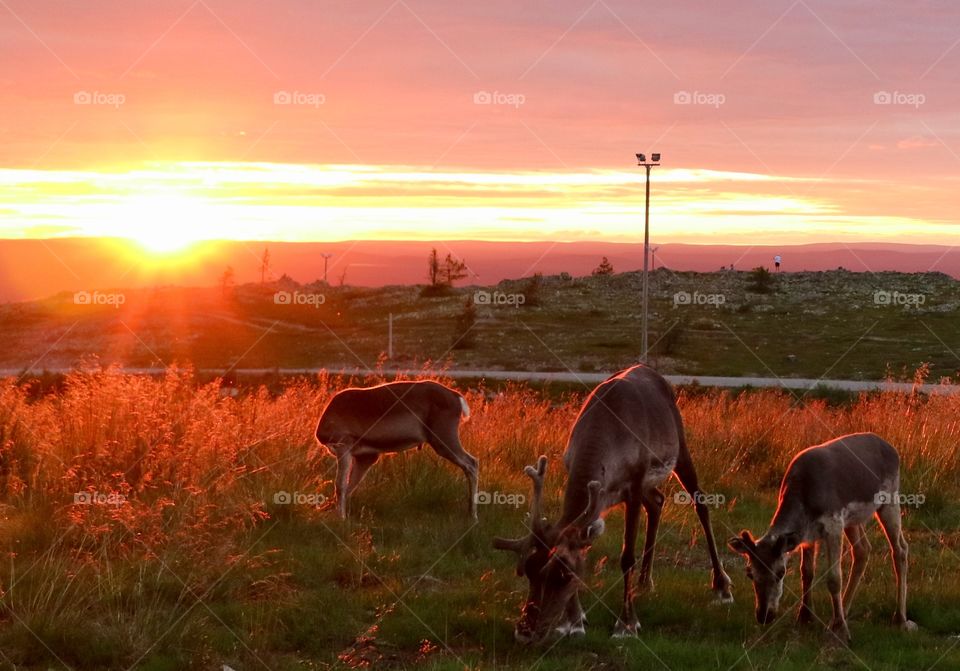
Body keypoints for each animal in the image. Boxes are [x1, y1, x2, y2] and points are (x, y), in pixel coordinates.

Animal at [314, 380, 477, 519]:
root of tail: (456, 396)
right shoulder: (366, 457)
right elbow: (351, 486)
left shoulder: (344, 448)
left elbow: (340, 485)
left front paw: (341, 519)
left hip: (443, 441)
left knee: (472, 463)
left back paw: (473, 516)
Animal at [493, 364, 733, 643]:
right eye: (527, 570)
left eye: (563, 576)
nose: (524, 632)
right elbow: (582, 545)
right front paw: (574, 621)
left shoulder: (635, 483)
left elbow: (626, 557)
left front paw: (626, 623)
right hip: (649, 485)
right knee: (657, 502)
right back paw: (645, 581)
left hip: (679, 449)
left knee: (701, 502)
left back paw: (721, 585)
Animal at [728, 432, 917, 643]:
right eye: (749, 573)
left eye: (781, 572)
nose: (764, 615)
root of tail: (892, 449)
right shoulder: (807, 536)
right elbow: (807, 572)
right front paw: (804, 616)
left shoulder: (833, 524)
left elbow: (834, 578)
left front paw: (840, 630)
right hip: (852, 520)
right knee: (862, 550)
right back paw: (844, 610)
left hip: (890, 500)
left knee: (900, 548)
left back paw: (900, 618)